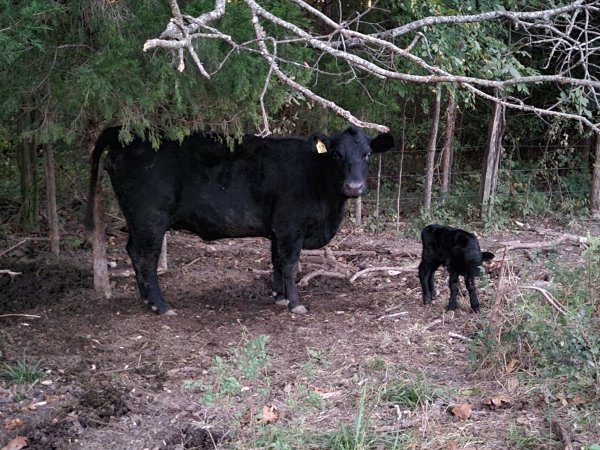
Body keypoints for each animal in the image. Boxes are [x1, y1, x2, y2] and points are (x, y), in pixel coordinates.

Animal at [86, 126, 394, 315]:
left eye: (367, 154)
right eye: (337, 154)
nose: (354, 187)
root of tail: (124, 133)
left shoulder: (277, 230)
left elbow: (276, 262)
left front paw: (280, 297)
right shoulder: (290, 227)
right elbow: (290, 264)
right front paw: (295, 304)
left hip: (138, 219)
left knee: (133, 252)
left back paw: (146, 300)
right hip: (150, 217)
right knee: (145, 257)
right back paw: (161, 306)